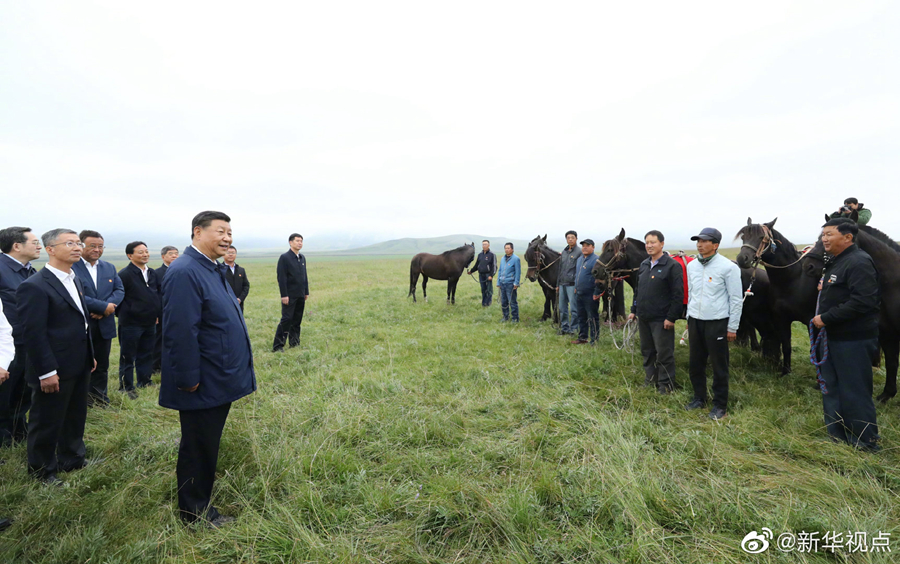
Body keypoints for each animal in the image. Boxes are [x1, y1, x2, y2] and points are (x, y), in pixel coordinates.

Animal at [736, 217, 820, 374]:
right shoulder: (782, 320)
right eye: (744, 237)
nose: (742, 259)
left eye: (762, 238)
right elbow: (786, 346)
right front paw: (786, 371)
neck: (793, 280)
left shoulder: (811, 320)